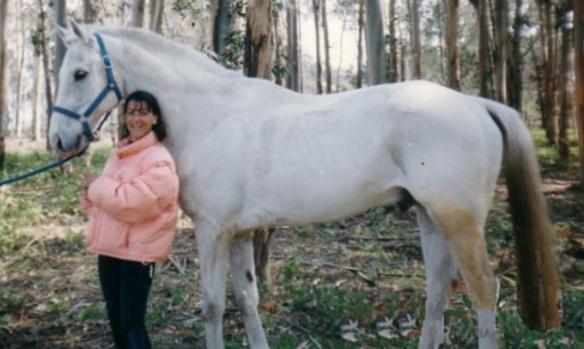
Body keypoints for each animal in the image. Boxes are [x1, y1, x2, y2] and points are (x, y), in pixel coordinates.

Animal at [48, 22, 560, 348]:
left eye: (79, 73)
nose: (59, 140)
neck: (212, 115)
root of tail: (476, 104)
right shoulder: (239, 234)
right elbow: (247, 300)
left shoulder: (213, 232)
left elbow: (213, 305)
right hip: (430, 219)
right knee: (438, 293)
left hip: (460, 224)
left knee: (484, 292)